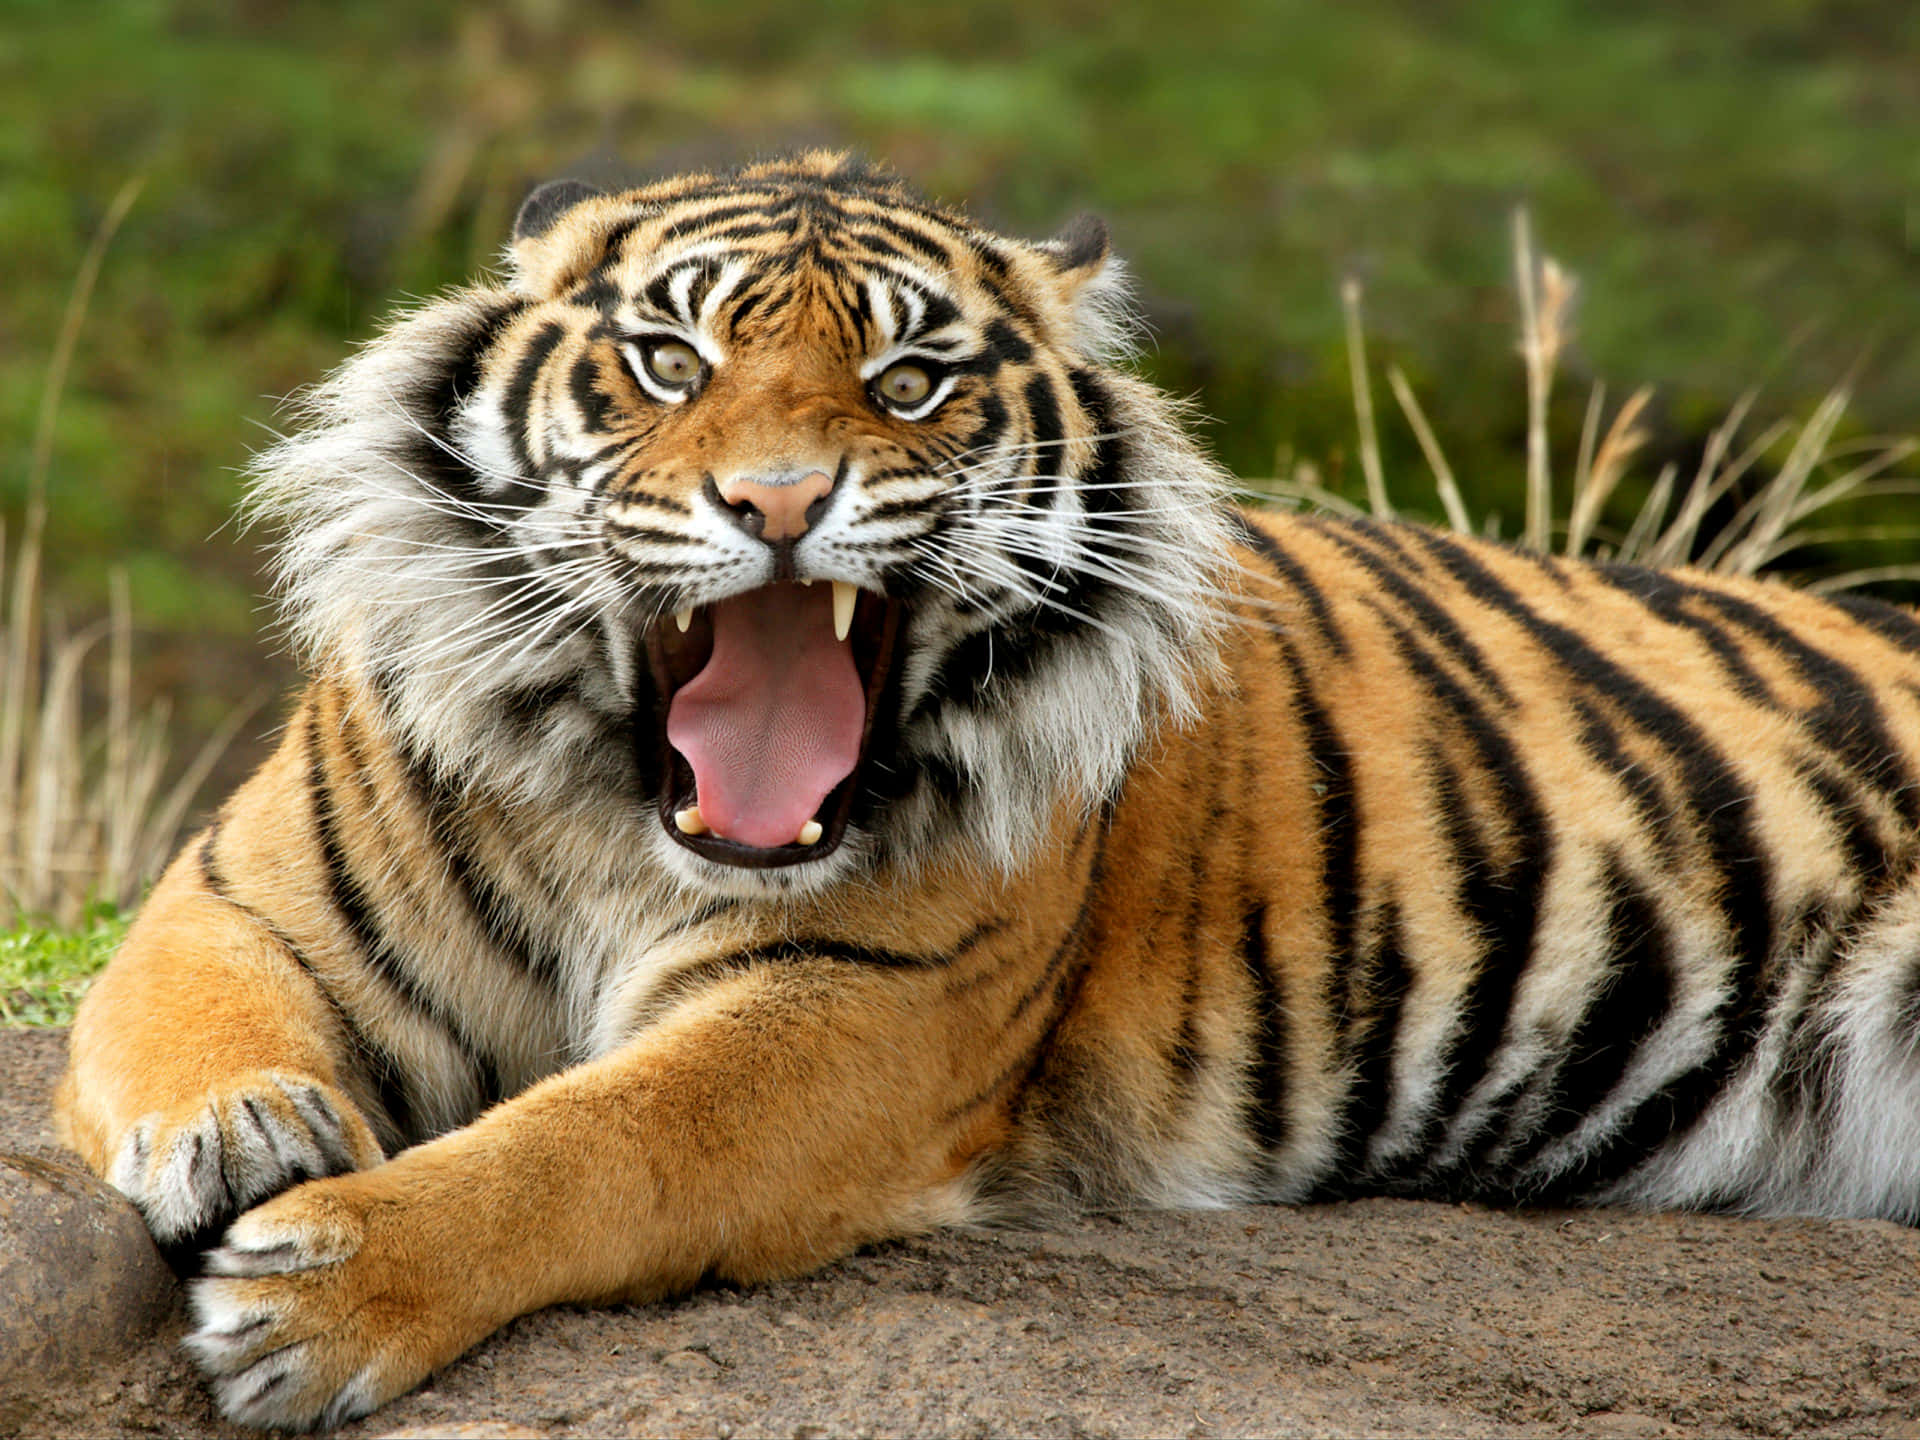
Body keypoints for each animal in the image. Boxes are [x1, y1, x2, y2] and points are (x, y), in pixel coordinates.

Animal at [53, 151, 1920, 1430]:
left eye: (909, 383)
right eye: (671, 364)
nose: (780, 501)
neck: (619, 814)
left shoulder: (851, 1016)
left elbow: (589, 1144)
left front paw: (323, 1296)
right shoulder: (236, 894)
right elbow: (186, 1020)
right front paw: (242, 1135)